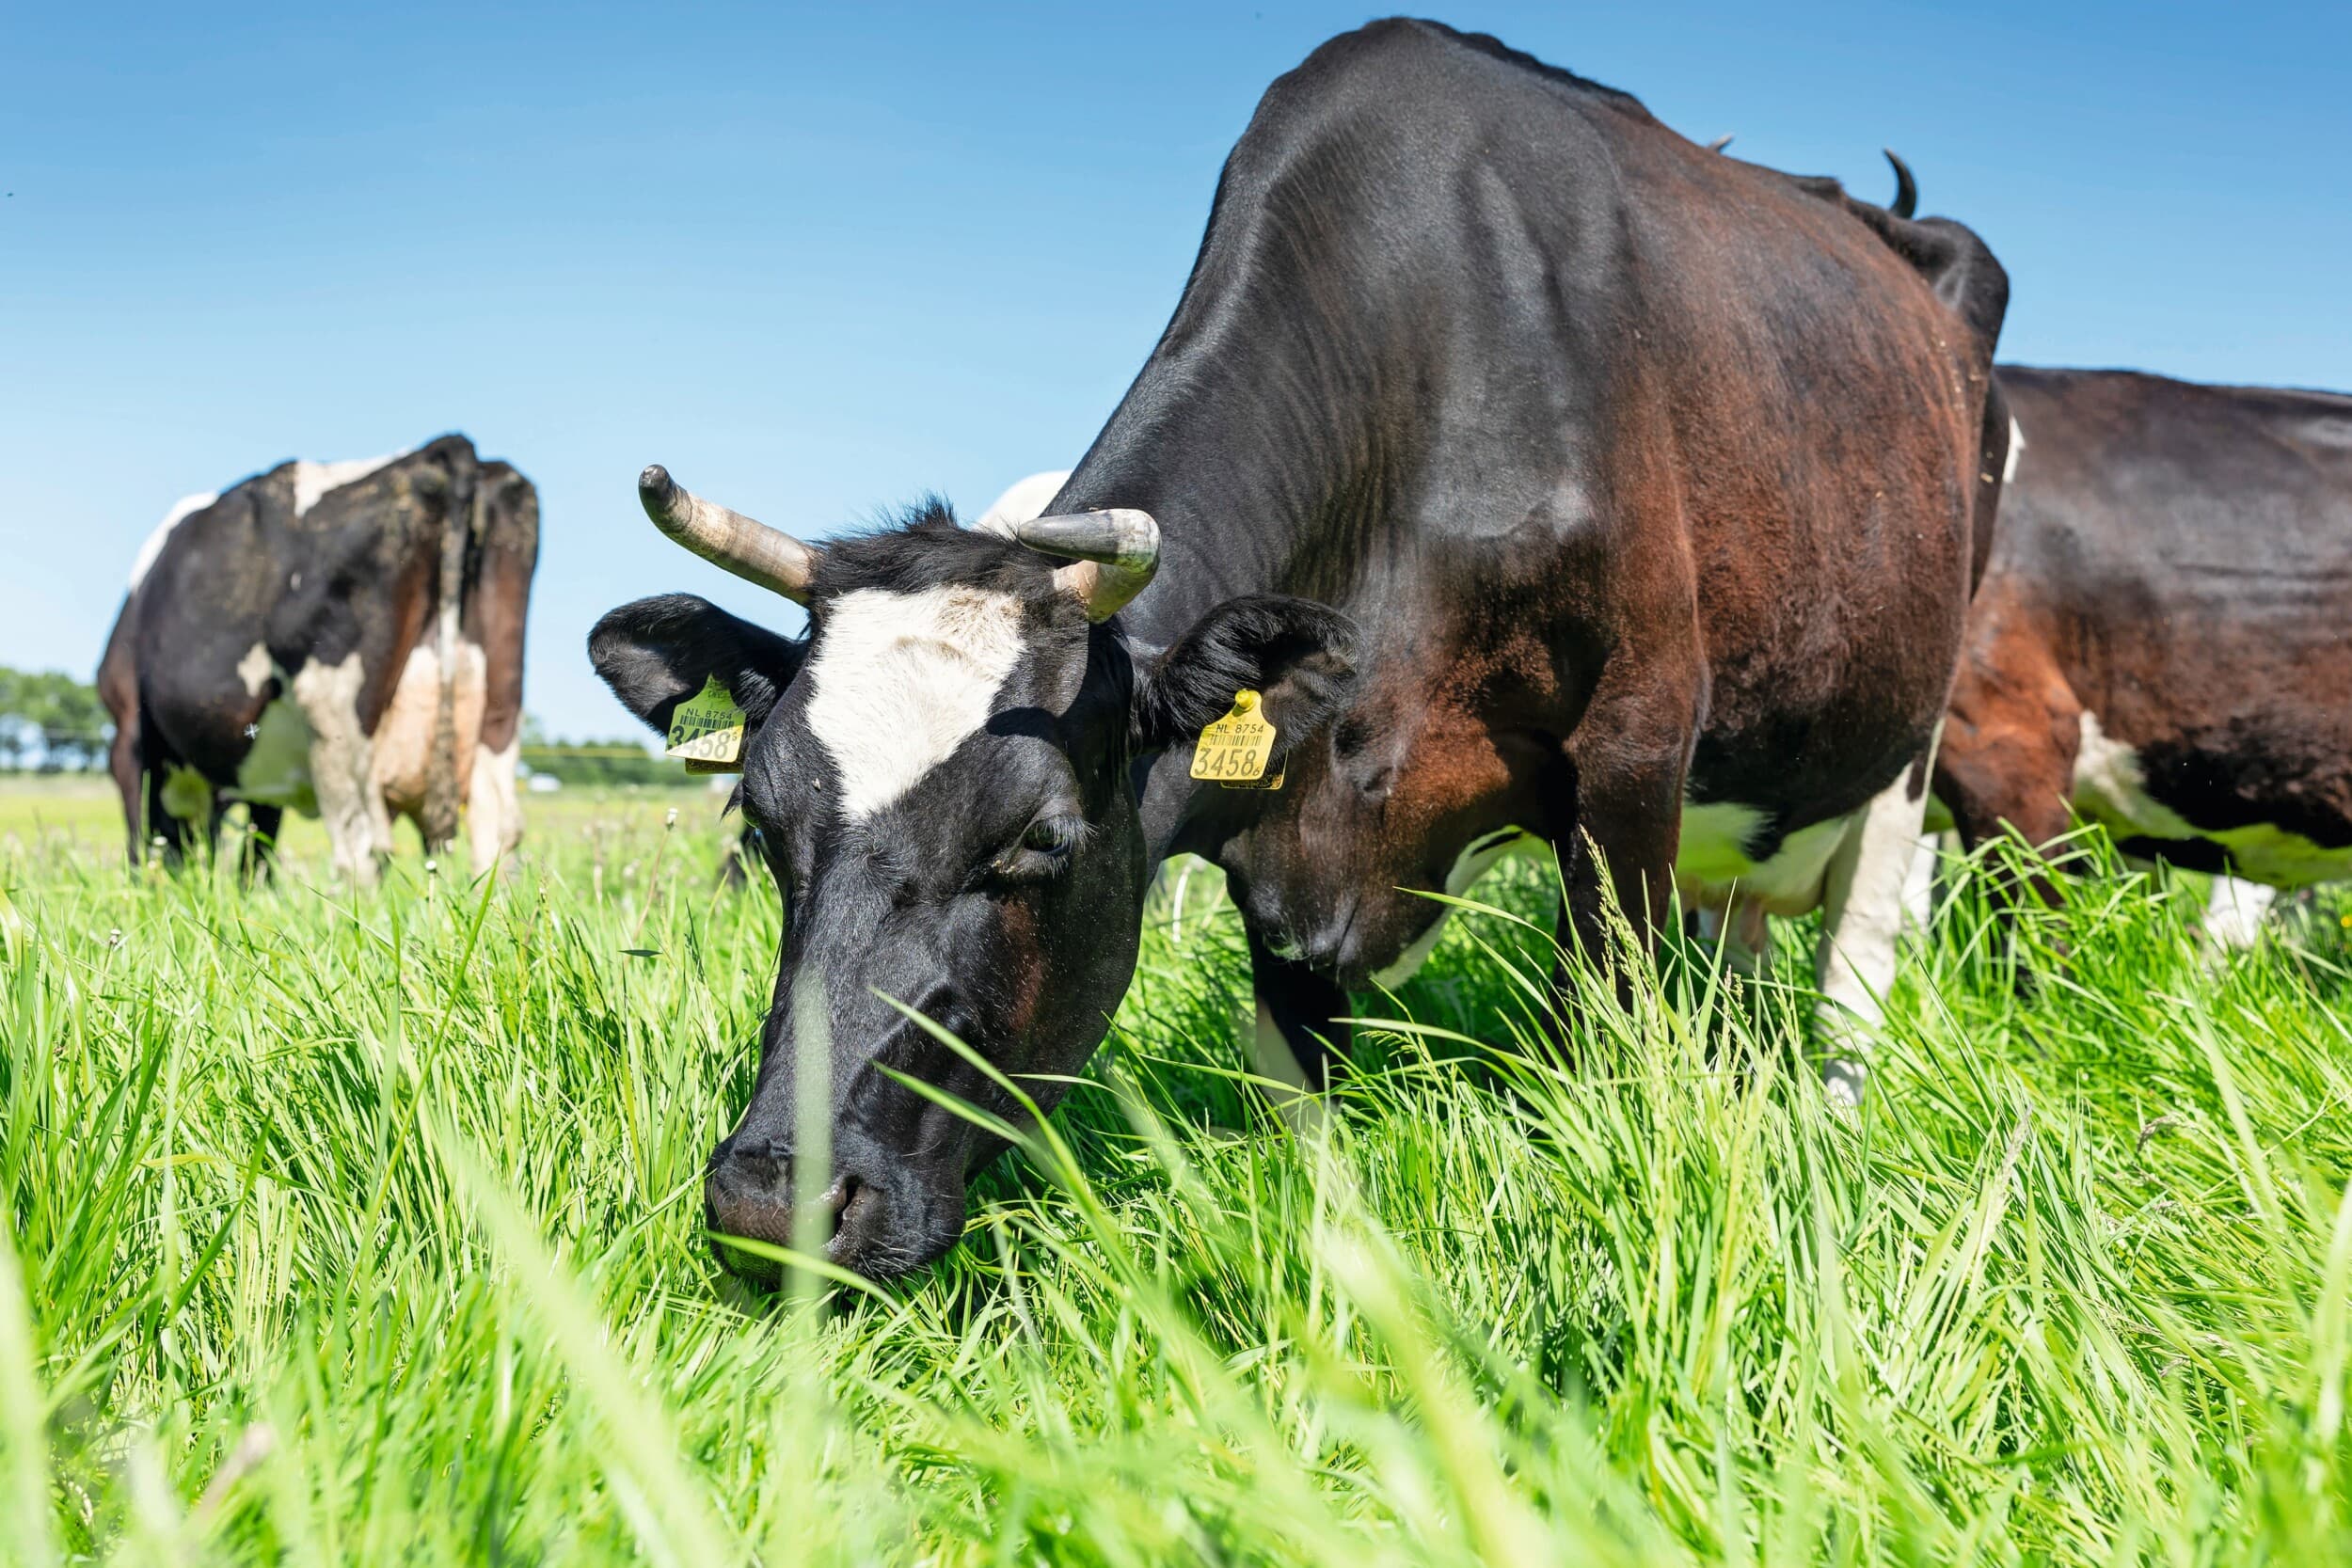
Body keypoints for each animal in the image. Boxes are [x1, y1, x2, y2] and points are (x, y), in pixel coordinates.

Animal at [98, 434, 539, 885]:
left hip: (335, 717)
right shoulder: (262, 767)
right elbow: (257, 849)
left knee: (359, 843)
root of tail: (444, 449)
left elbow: (140, 834)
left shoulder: (129, 732)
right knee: (497, 829)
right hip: (498, 708)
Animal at [587, 20, 2008, 1286]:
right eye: (762, 819)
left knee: (1852, 976)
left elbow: (1608, 1054)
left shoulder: (1635, 753)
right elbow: (1306, 1123)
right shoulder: (1287, 851)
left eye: (1040, 837)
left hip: (1902, 740)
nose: (767, 1204)